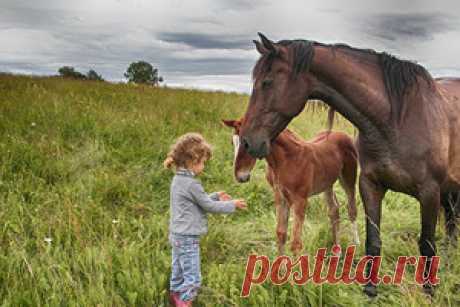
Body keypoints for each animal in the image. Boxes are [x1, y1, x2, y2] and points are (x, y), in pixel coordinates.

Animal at [223, 119, 360, 256]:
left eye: (247, 144)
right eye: (232, 142)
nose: (240, 176)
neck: (285, 161)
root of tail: (342, 134)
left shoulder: (301, 200)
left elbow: (296, 243)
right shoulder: (280, 196)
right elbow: (281, 233)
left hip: (348, 177)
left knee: (351, 209)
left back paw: (356, 245)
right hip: (327, 183)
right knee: (334, 210)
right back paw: (337, 252)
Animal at [239, 33, 460, 296]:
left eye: (267, 82)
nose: (248, 142)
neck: (397, 119)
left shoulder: (429, 192)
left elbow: (426, 244)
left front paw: (428, 291)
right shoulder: (370, 185)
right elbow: (373, 240)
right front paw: (370, 289)